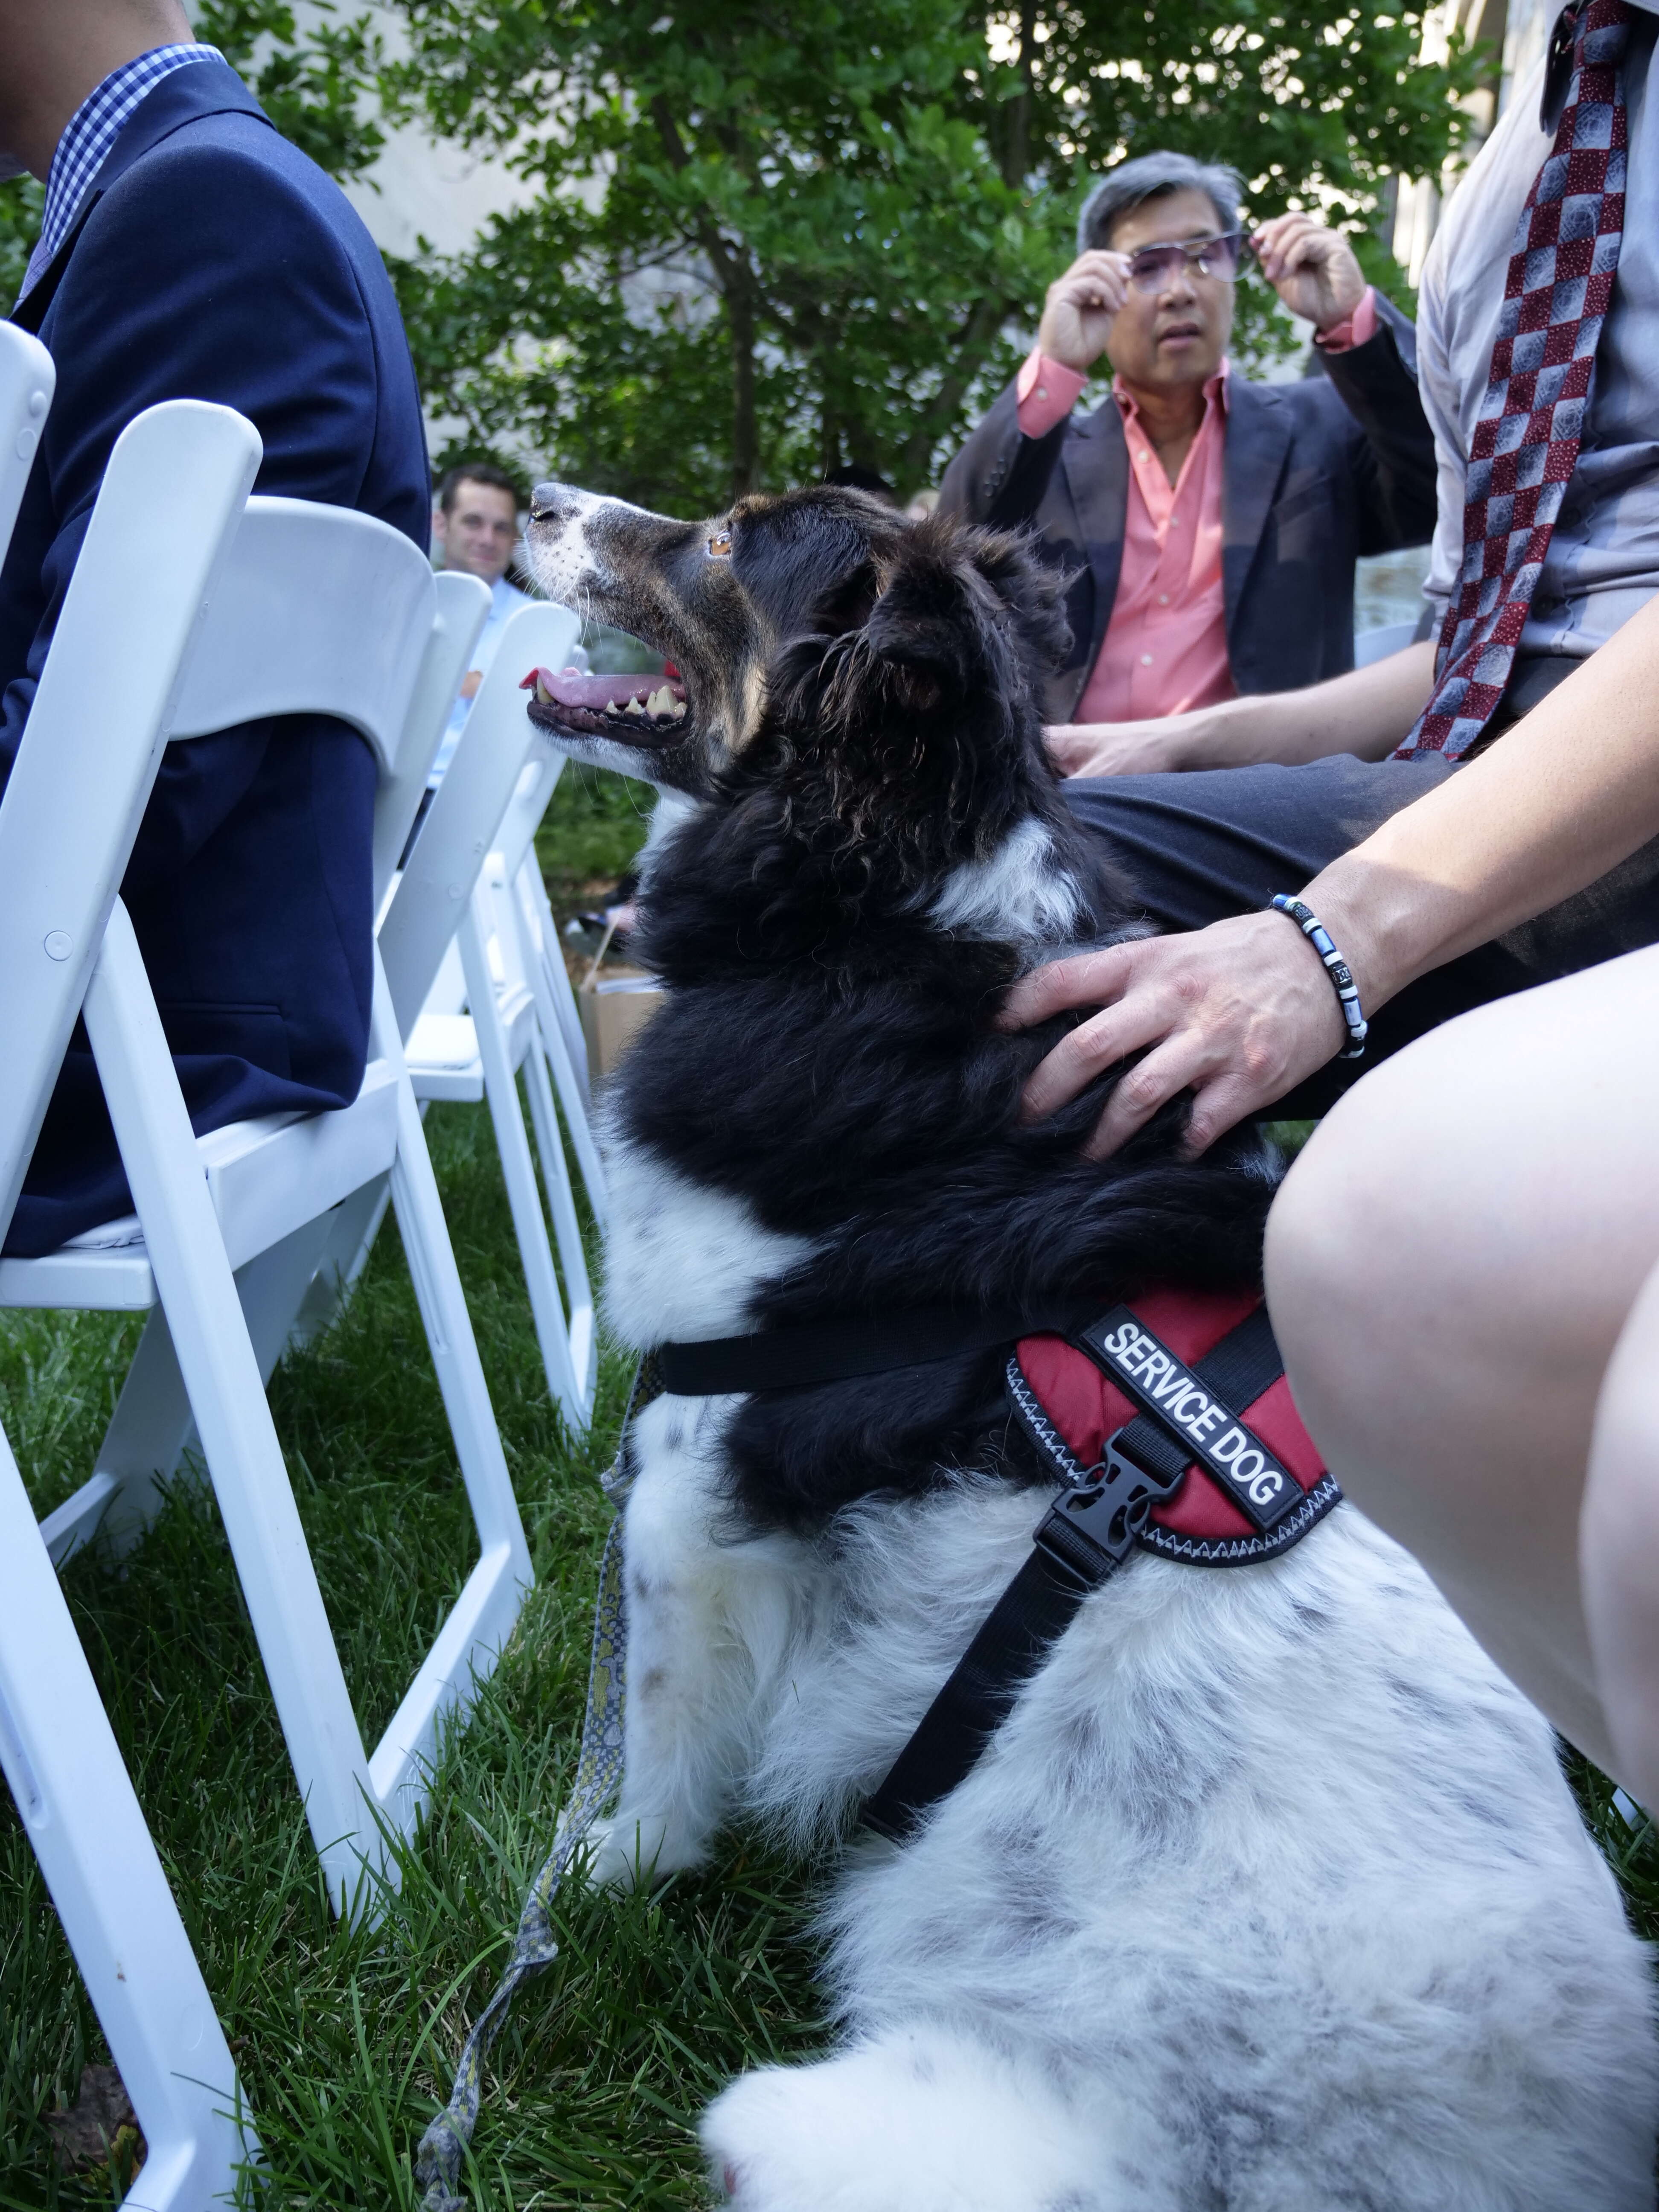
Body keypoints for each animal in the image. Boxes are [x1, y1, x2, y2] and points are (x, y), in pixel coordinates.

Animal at [526, 489, 1659, 2212]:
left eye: (727, 540)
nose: (529, 502)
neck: (873, 918)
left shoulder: (683, 1475)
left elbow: (655, 1739)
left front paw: (598, 1883)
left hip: (837, 2128)